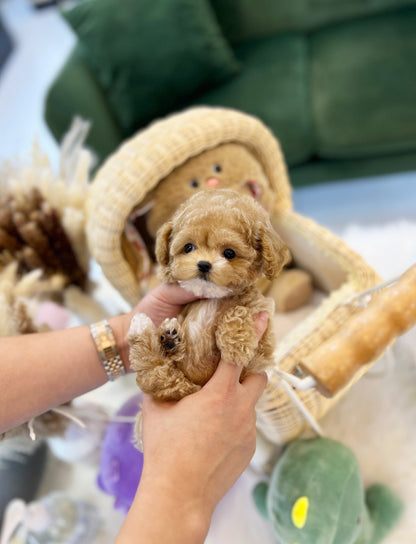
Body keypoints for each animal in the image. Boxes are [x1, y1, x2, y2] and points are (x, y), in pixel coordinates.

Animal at [128, 188, 290, 400]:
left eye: (229, 253)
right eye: (188, 247)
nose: (204, 264)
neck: (213, 297)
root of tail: (190, 388)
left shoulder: (263, 331)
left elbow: (239, 310)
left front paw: (236, 347)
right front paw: (167, 273)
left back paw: (168, 339)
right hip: (175, 384)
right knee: (160, 373)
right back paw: (165, 337)